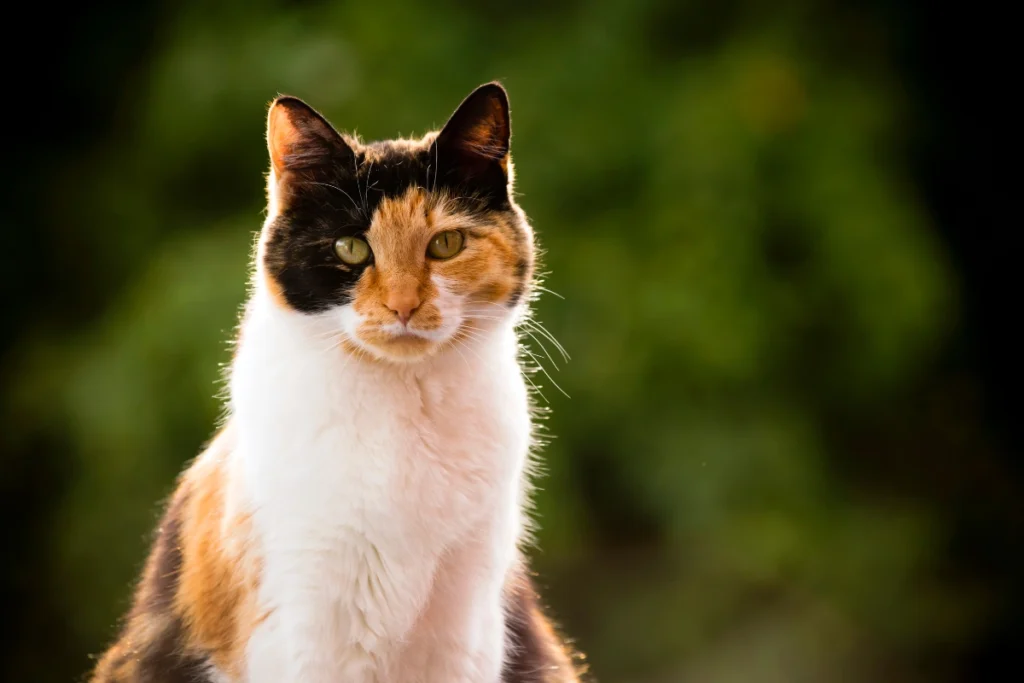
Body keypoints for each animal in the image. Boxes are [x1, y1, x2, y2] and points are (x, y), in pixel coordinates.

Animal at [88, 83, 585, 683]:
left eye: (446, 245)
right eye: (351, 248)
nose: (403, 305)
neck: (401, 405)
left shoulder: (468, 626)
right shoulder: (302, 624)